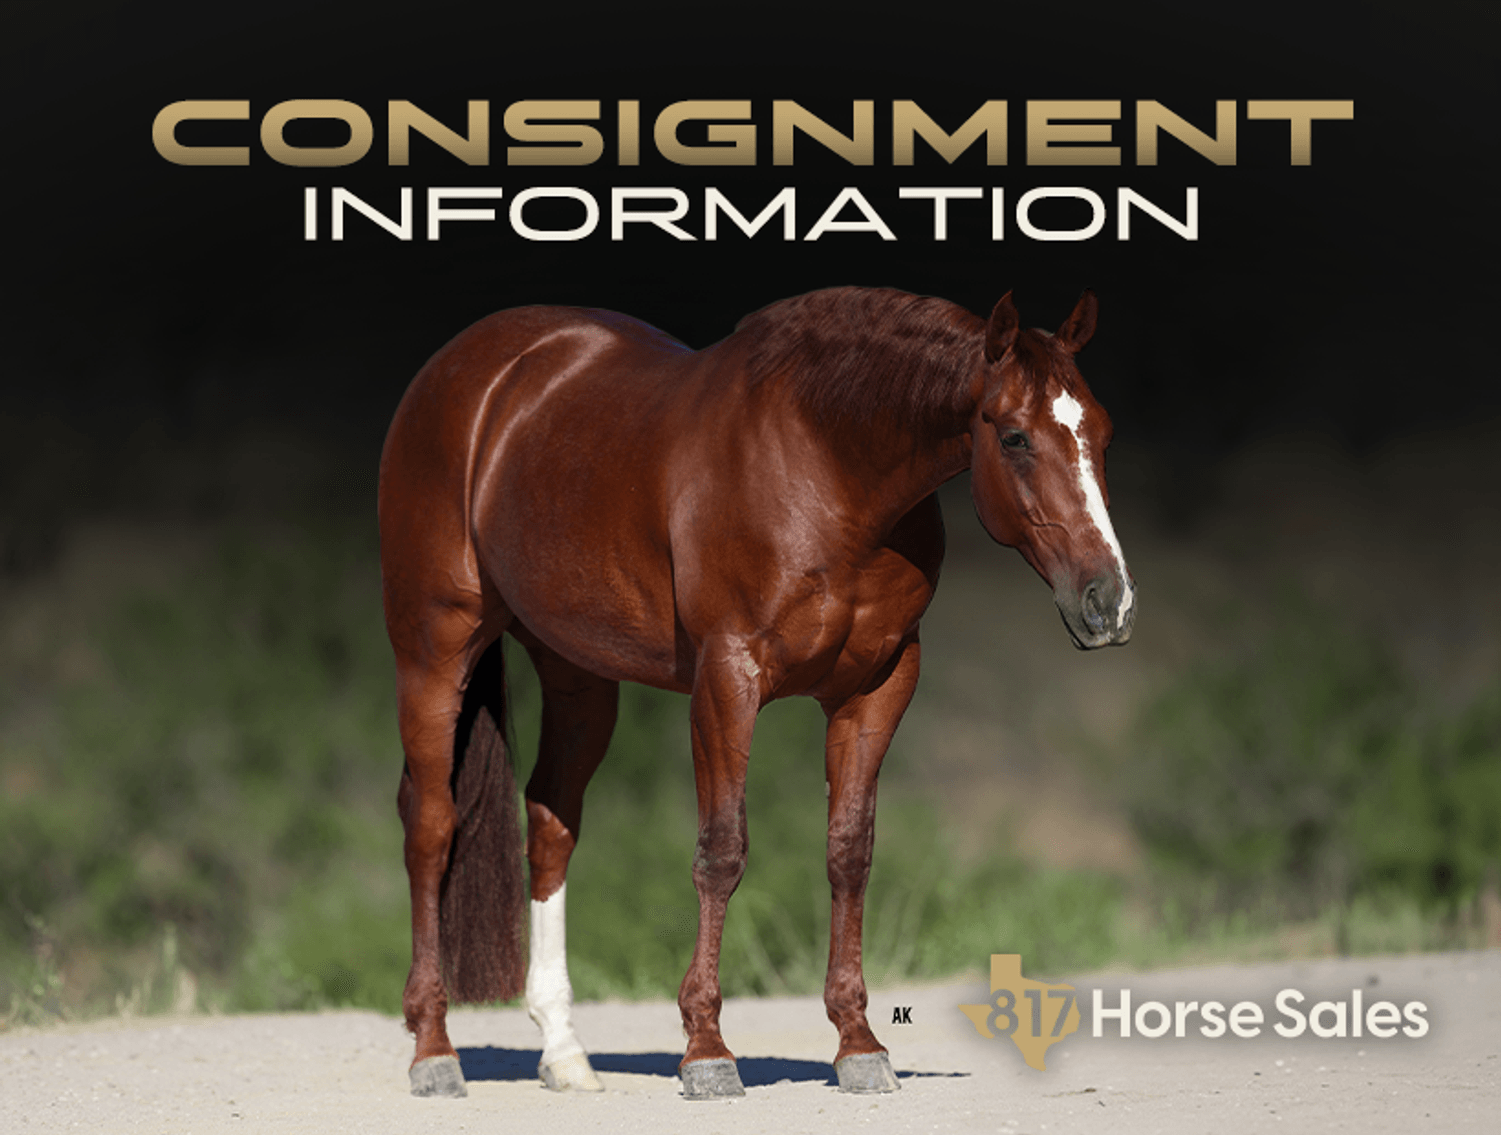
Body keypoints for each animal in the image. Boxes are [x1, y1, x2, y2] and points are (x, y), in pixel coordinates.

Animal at [377, 285, 1135, 1100]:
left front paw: (858, 1042)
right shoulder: (726, 679)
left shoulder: (878, 686)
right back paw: (434, 1050)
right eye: (1017, 437)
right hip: (434, 650)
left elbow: (849, 851)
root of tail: (470, 369)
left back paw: (564, 1051)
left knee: (550, 823)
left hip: (577, 673)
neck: (826, 466)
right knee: (431, 827)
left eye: (1102, 432)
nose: (1109, 602)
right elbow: (722, 850)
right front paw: (707, 1049)